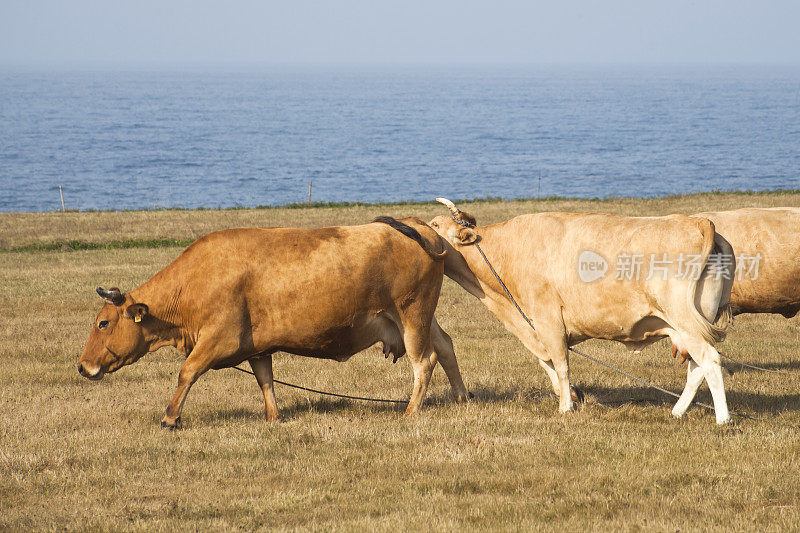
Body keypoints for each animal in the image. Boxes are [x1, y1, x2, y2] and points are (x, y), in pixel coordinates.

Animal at [76, 214, 468, 426]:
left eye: (103, 323)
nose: (82, 366)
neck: (197, 279)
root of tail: (412, 225)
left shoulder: (218, 339)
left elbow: (187, 372)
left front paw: (170, 417)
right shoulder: (257, 347)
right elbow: (265, 379)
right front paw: (274, 417)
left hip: (412, 315)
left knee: (424, 362)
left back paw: (411, 411)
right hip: (420, 318)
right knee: (446, 347)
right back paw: (462, 398)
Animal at [428, 200, 736, 424]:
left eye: (434, 224)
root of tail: (697, 221)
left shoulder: (548, 318)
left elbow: (560, 363)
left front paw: (565, 407)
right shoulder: (534, 326)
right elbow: (547, 362)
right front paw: (573, 397)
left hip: (686, 321)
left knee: (710, 361)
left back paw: (723, 419)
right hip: (688, 326)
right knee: (697, 369)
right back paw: (677, 412)